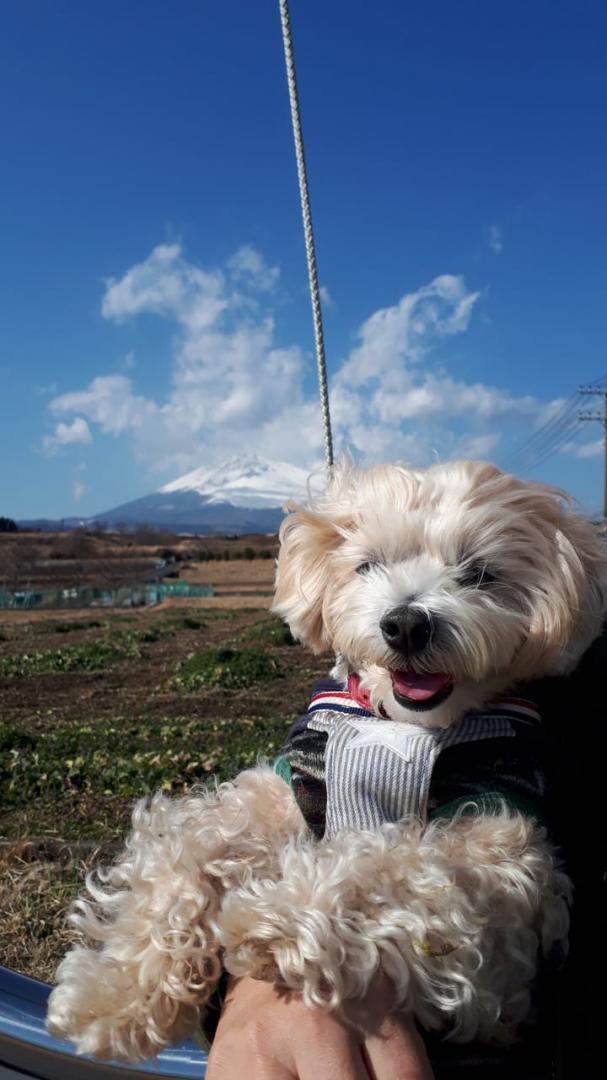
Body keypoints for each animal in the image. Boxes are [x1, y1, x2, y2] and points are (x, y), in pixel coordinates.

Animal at [47, 460, 604, 1058]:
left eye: (479, 573)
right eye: (368, 566)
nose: (406, 624)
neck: (397, 727)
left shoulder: (504, 875)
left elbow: (395, 864)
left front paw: (267, 917)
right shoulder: (281, 789)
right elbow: (182, 855)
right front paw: (113, 998)